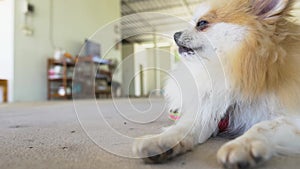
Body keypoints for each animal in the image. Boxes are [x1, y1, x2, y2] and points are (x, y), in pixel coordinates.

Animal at [133, 0, 300, 168]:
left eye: (201, 23)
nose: (175, 34)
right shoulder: (209, 110)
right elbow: (184, 126)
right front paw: (160, 139)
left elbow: (262, 126)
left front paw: (242, 145)